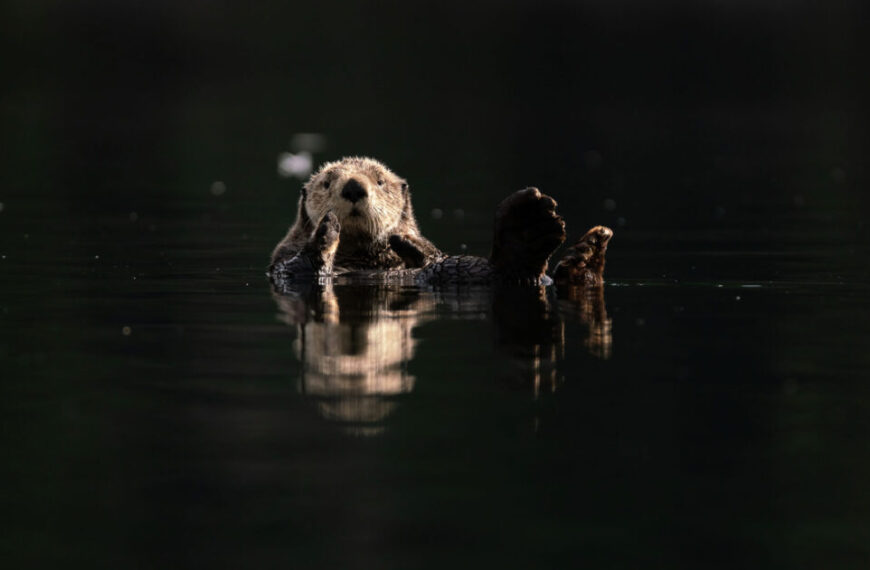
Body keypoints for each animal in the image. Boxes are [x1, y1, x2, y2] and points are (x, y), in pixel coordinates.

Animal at [269, 157, 612, 288]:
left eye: (379, 181)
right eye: (327, 182)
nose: (353, 187)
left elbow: (430, 251)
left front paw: (405, 242)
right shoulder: (283, 263)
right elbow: (298, 268)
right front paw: (325, 232)